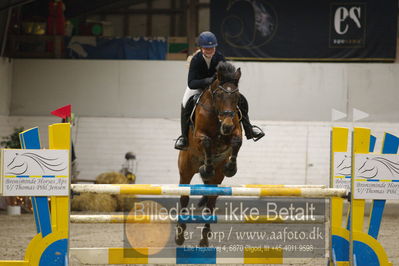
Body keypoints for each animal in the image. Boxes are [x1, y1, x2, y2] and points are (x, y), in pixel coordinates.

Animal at [176, 61, 244, 247]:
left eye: (237, 97)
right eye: (219, 95)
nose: (227, 126)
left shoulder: (235, 131)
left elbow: (237, 142)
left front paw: (231, 167)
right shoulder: (199, 135)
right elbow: (206, 142)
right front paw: (206, 168)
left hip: (217, 178)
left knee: (211, 203)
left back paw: (204, 239)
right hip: (185, 170)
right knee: (184, 198)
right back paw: (180, 235)